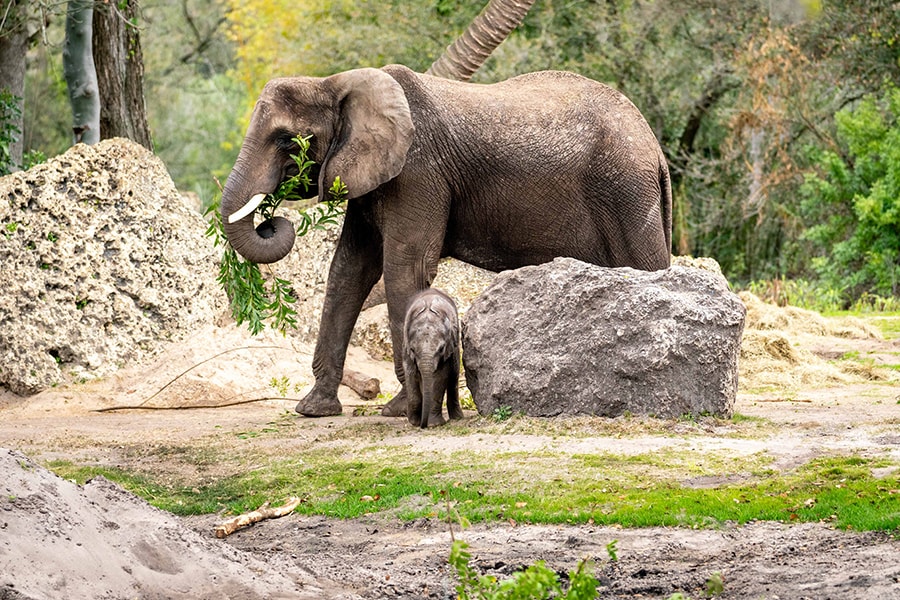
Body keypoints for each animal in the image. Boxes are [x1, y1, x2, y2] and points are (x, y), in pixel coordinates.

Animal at [406, 286, 468, 426]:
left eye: (441, 349)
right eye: (413, 350)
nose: (422, 425)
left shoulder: (448, 348)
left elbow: (440, 376)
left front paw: (435, 424)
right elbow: (411, 374)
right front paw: (414, 422)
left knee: (453, 378)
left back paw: (457, 417)